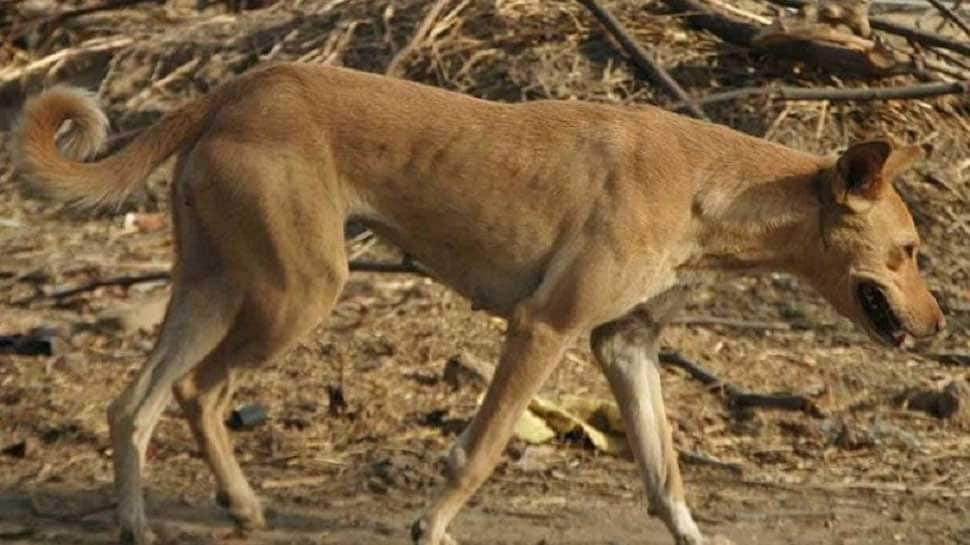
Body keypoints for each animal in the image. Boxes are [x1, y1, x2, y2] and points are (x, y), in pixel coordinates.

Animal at [13, 62, 936, 544]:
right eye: (908, 252)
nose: (937, 324)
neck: (709, 185)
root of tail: (242, 85)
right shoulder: (544, 327)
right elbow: (480, 449)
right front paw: (431, 524)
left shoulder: (625, 347)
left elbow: (667, 474)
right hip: (296, 290)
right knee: (200, 391)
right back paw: (232, 506)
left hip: (212, 286)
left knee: (134, 402)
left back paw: (146, 521)